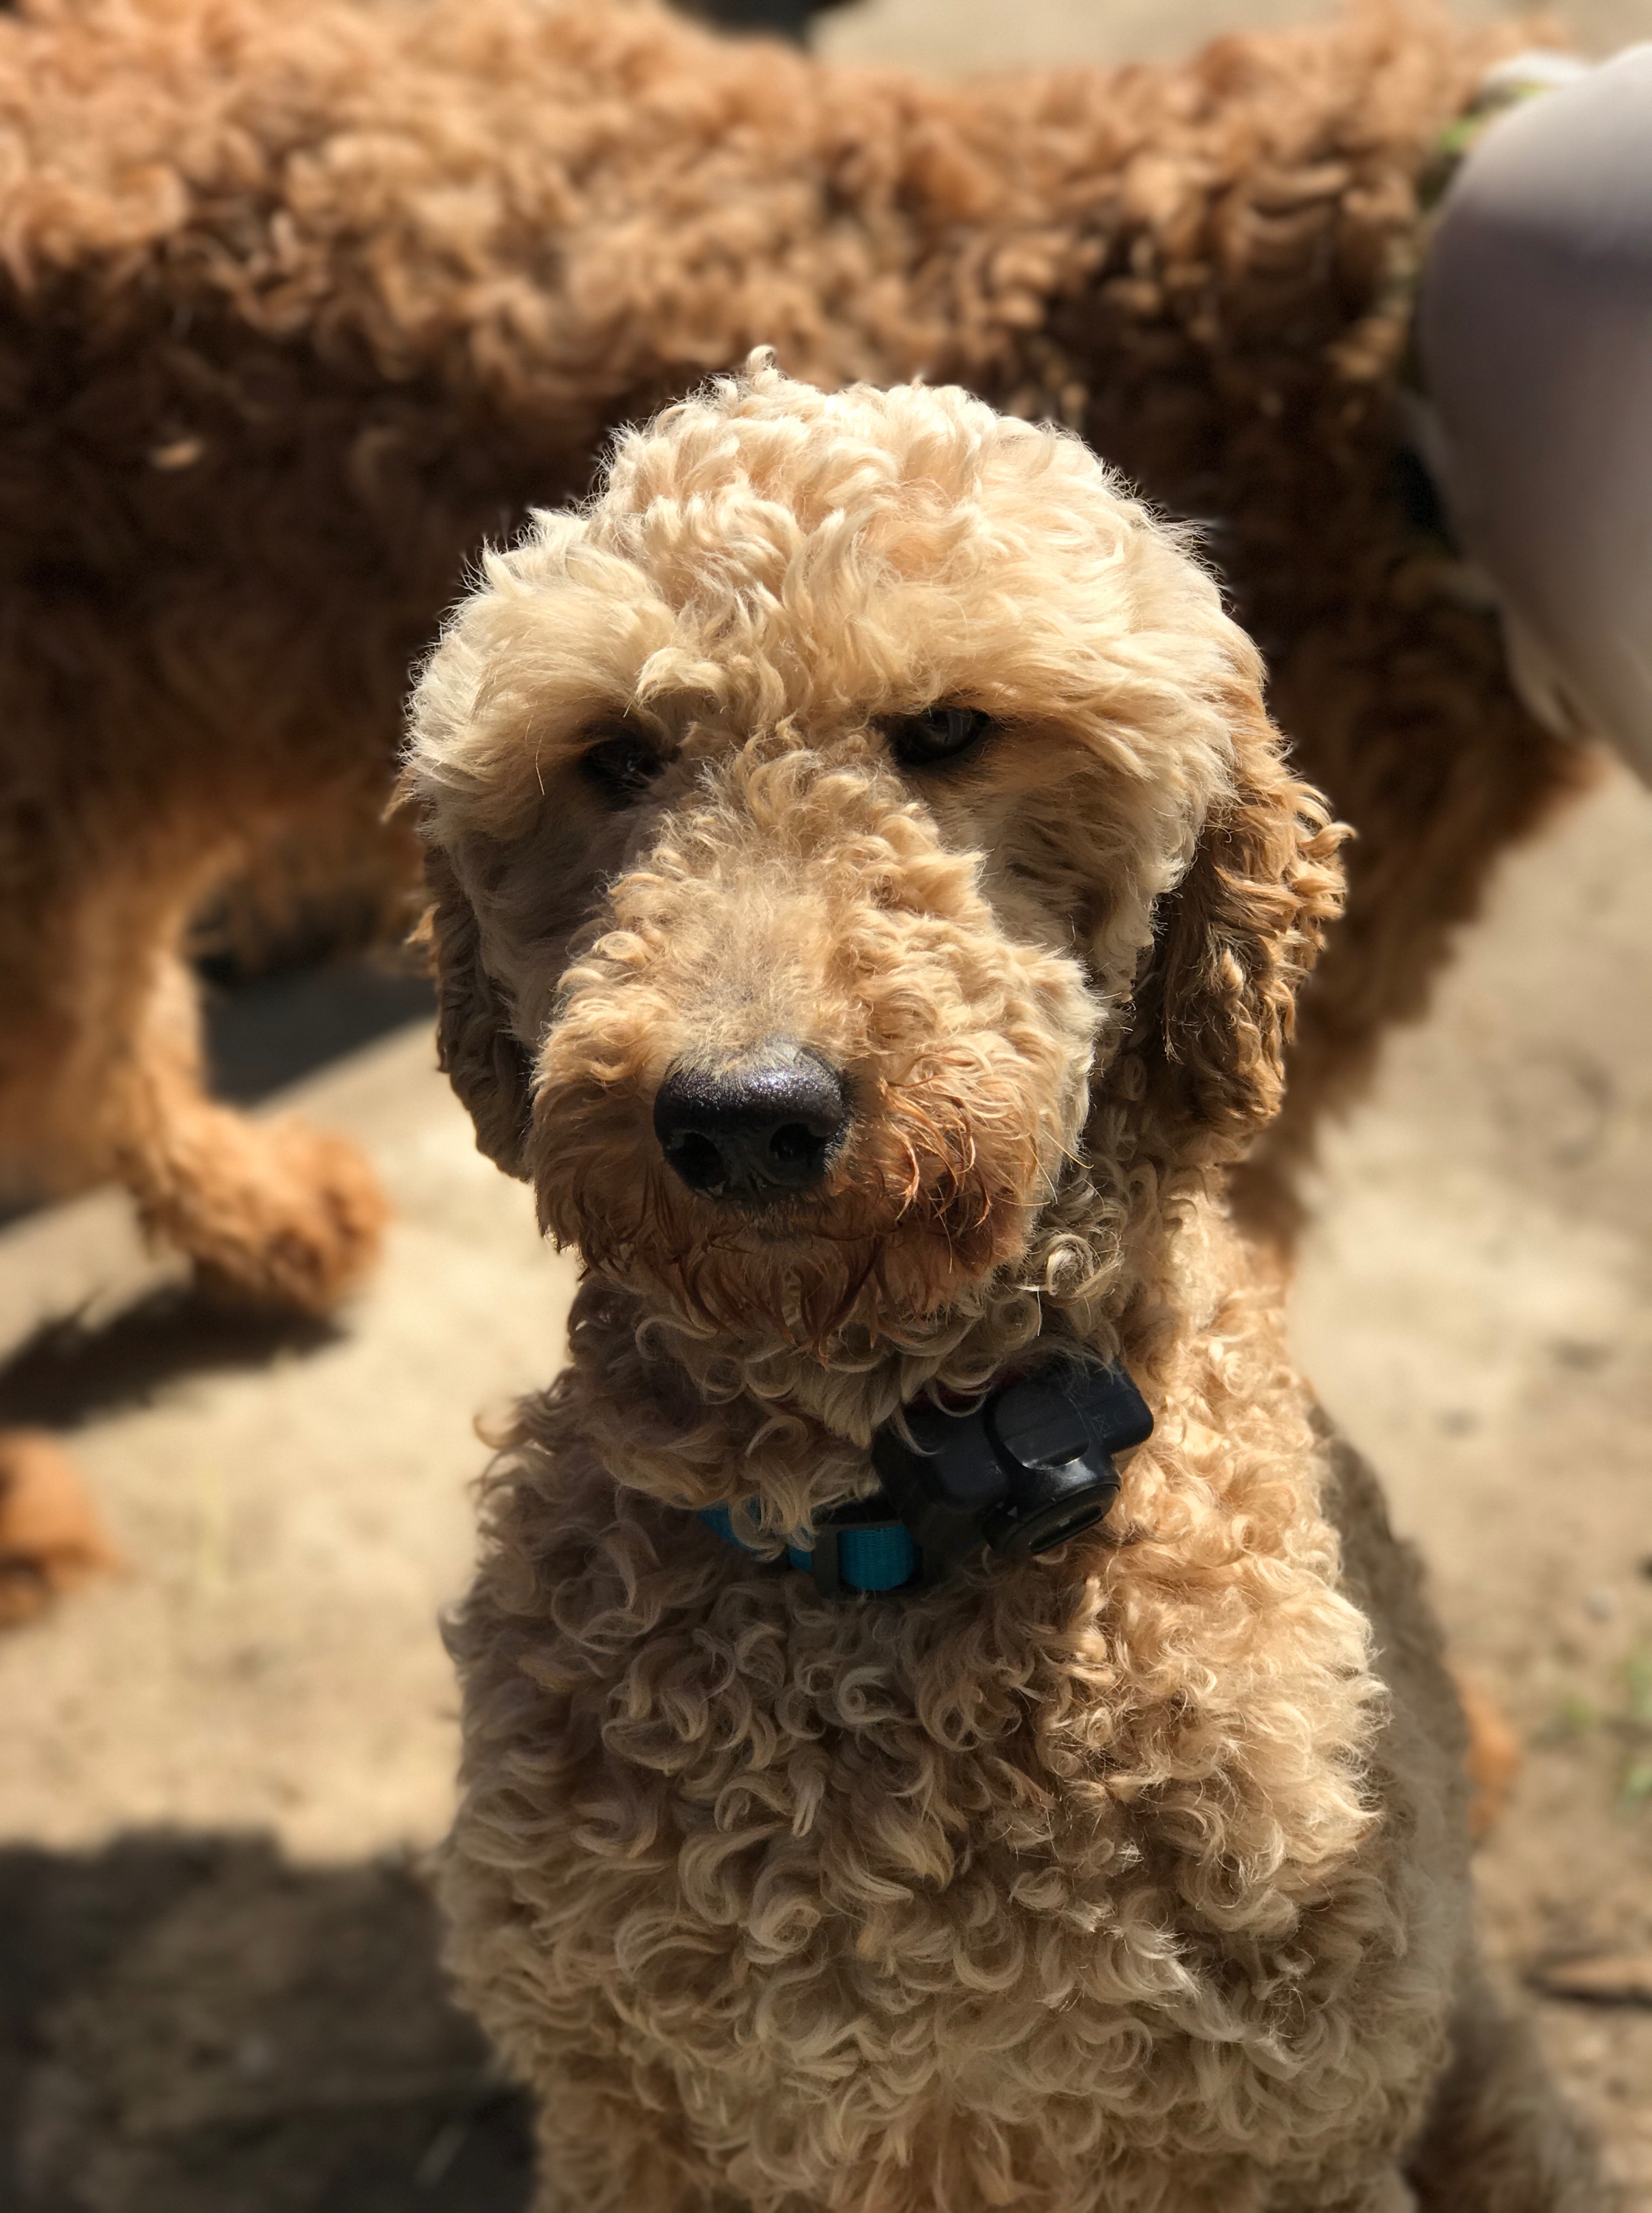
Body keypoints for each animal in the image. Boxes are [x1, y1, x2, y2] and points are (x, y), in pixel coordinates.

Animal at [401, 362, 1598, 2212]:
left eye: (951, 730)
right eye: (614, 755)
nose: (745, 1113)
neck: (879, 1527)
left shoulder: (1282, 2132)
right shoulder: (623, 2117)